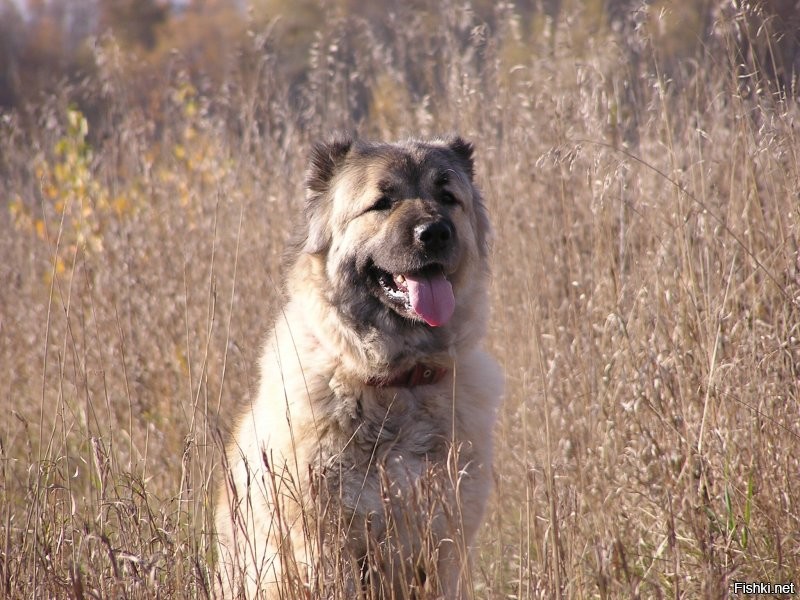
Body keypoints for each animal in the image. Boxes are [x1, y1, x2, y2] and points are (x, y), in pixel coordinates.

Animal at [216, 136, 504, 600]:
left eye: (447, 197)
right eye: (382, 202)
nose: (435, 232)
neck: (398, 382)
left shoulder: (443, 545)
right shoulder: (327, 546)